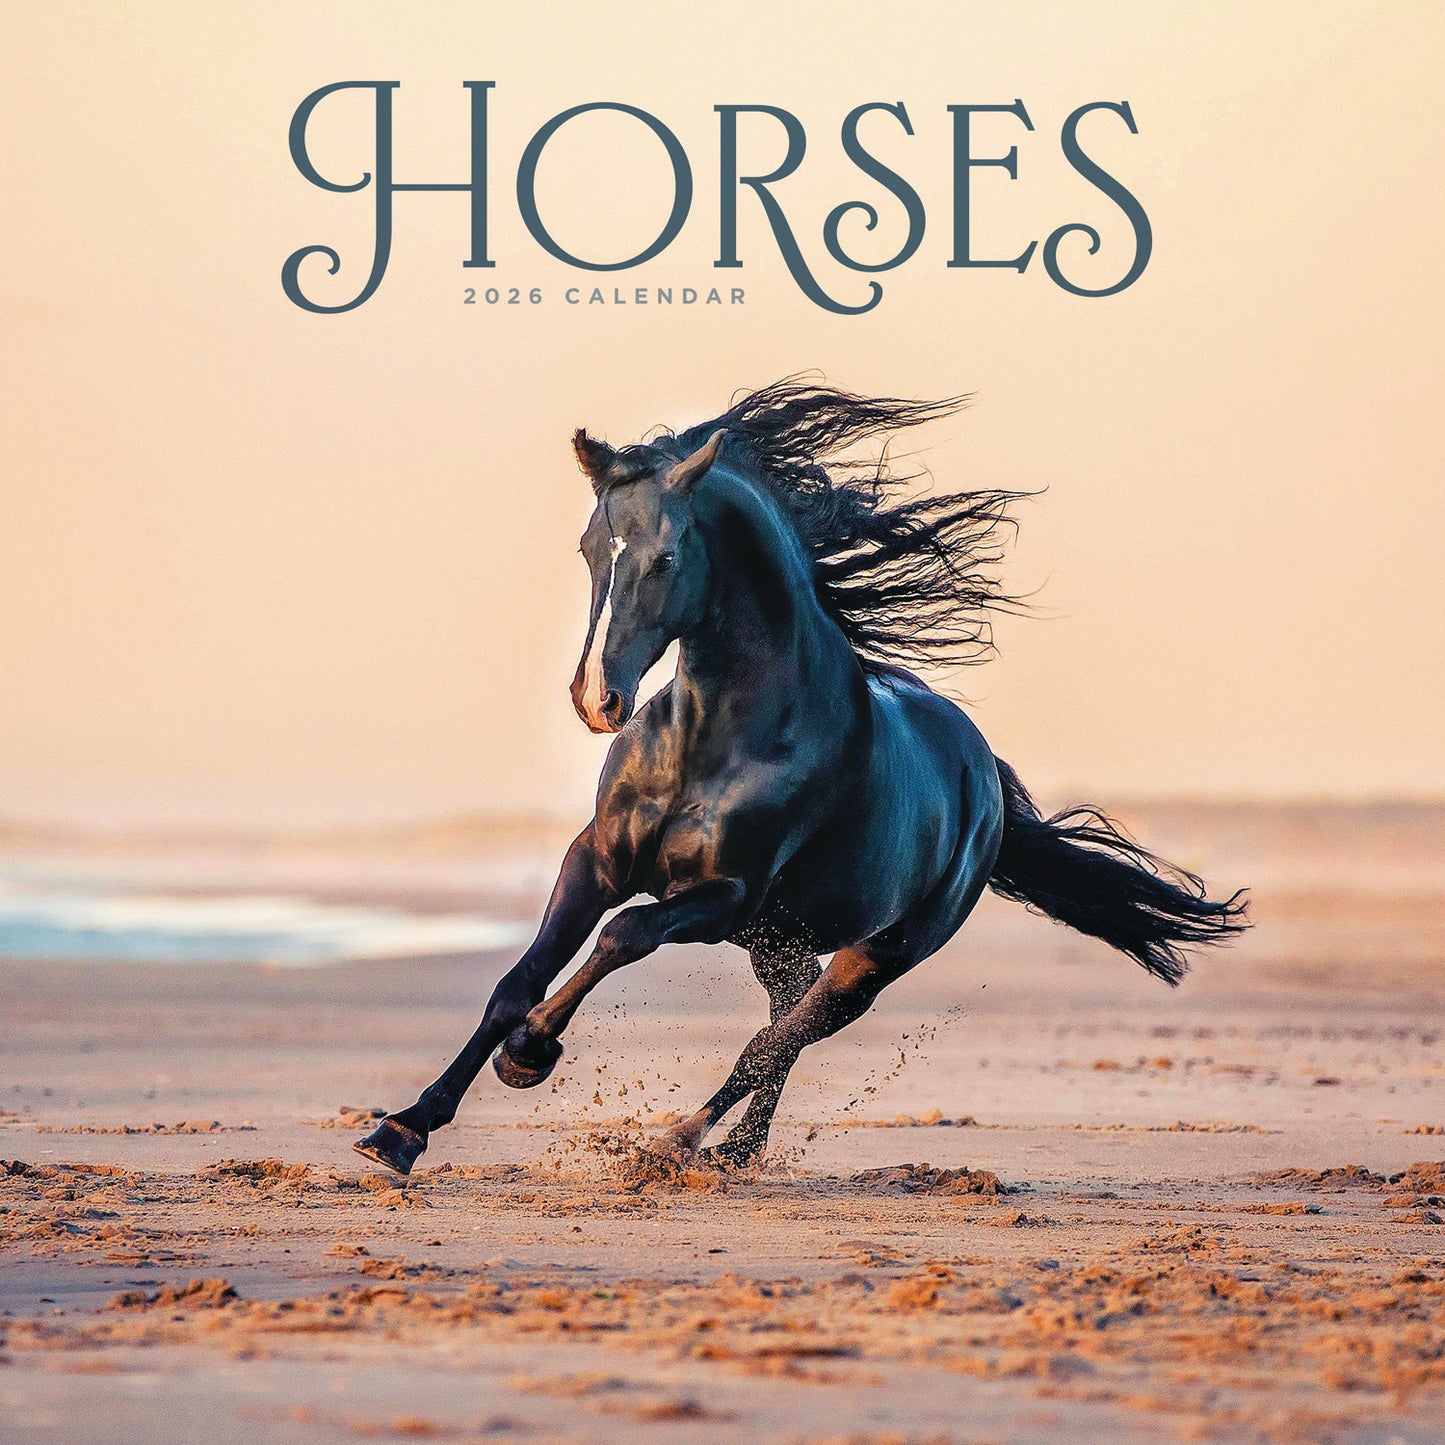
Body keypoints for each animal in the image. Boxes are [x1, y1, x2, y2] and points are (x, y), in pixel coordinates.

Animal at [355, 380, 1248, 1176]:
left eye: (665, 556)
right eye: (587, 548)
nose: (596, 698)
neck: (714, 740)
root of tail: (984, 777)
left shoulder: (724, 894)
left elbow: (624, 935)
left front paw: (532, 1050)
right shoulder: (597, 859)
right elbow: (516, 979)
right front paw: (404, 1128)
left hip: (874, 956)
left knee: (779, 1036)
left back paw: (674, 1146)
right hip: (779, 942)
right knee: (782, 1025)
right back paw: (736, 1153)